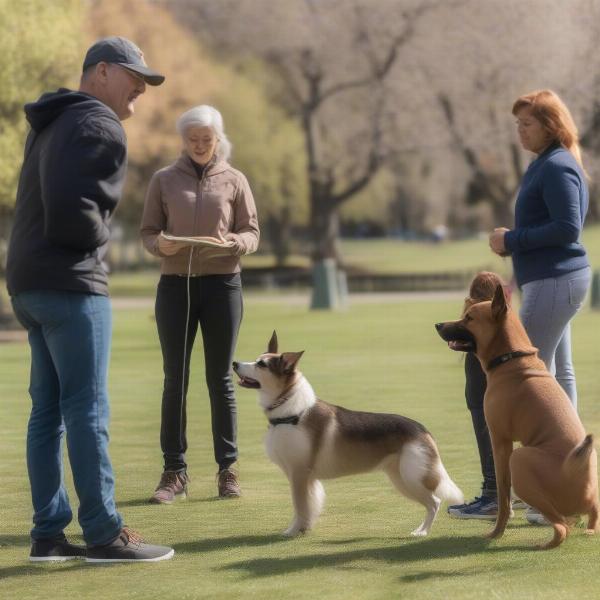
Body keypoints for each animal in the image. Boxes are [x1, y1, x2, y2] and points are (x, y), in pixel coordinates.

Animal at [231, 332, 464, 540]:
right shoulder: (306, 478)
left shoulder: (299, 474)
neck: (293, 413)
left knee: (434, 502)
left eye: (261, 364)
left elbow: (300, 506)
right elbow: (310, 506)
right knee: (431, 503)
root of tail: (423, 430)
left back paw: (422, 532)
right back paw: (420, 530)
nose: (234, 363)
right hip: (402, 479)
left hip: (412, 478)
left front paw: (293, 530)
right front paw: (304, 528)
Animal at [436, 284, 600, 548]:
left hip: (520, 458)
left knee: (561, 528)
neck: (511, 359)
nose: (438, 325)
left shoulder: (500, 441)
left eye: (469, 318)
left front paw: (496, 531)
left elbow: (503, 494)